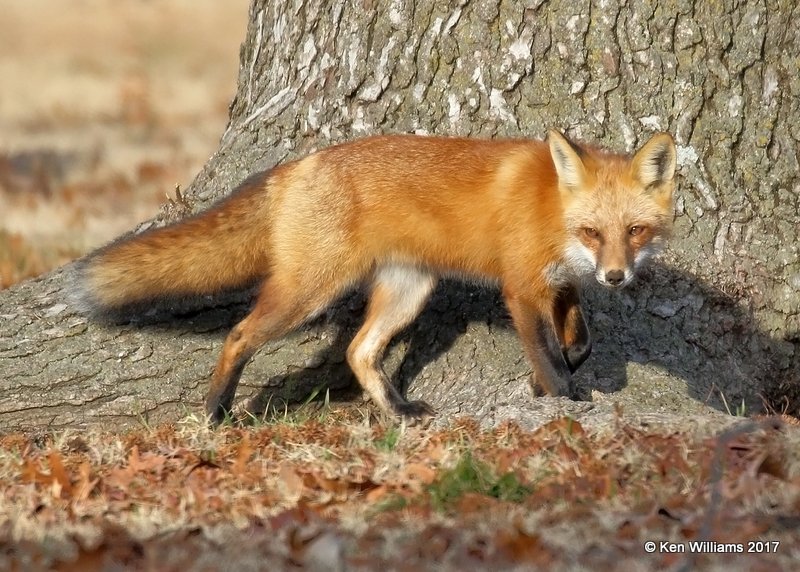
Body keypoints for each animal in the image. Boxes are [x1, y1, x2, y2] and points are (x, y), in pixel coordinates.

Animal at [72, 132, 680, 422]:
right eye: (592, 232)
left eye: (635, 231)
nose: (617, 278)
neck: (553, 211)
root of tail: (295, 166)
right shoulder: (522, 288)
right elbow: (550, 353)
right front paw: (563, 399)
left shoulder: (559, 282)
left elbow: (577, 335)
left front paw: (559, 369)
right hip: (310, 291)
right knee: (240, 334)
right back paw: (216, 412)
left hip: (408, 292)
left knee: (358, 351)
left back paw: (399, 410)